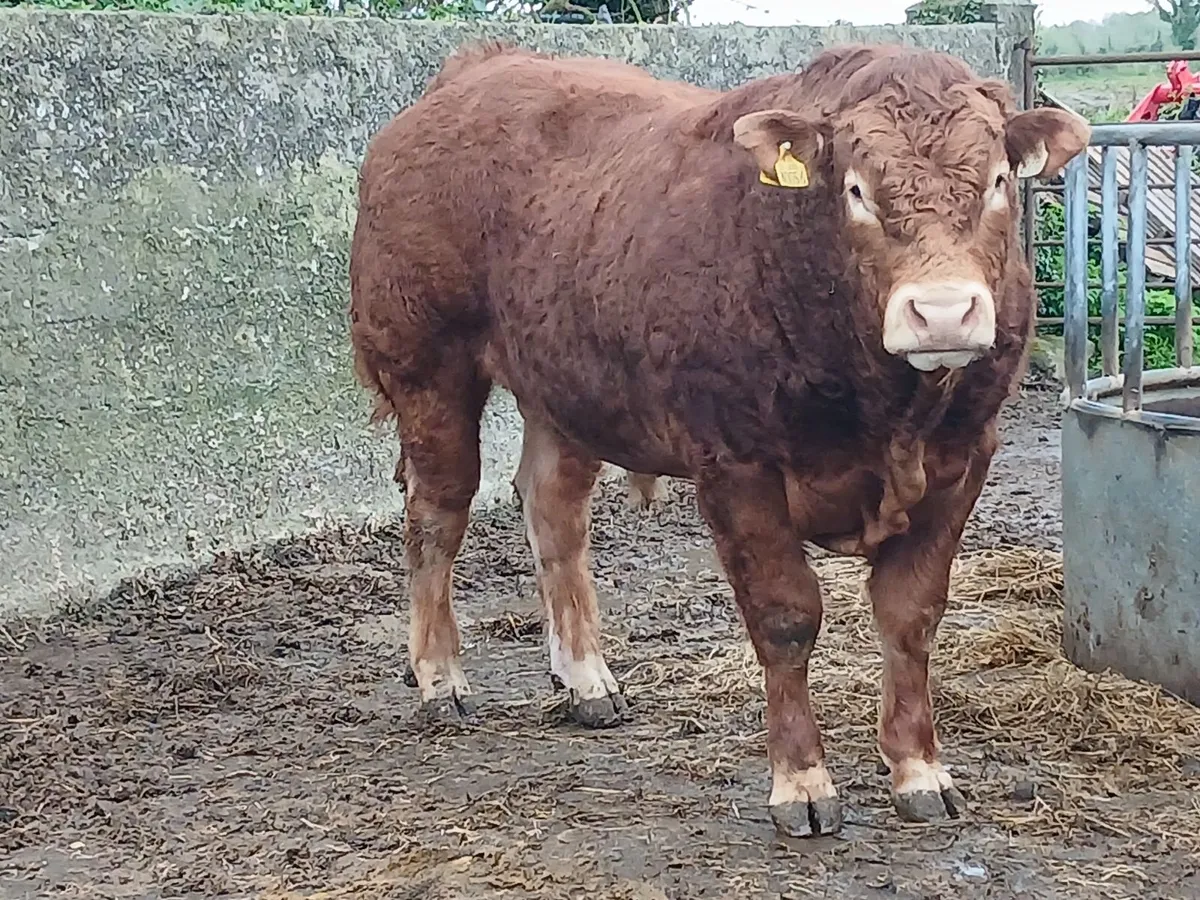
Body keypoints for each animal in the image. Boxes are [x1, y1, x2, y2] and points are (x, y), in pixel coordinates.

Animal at [349, 42, 1089, 838]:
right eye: (855, 189)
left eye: (998, 182)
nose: (944, 313)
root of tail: (475, 70)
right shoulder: (737, 464)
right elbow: (786, 617)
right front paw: (802, 782)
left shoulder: (963, 460)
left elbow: (911, 615)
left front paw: (919, 769)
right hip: (429, 369)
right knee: (437, 514)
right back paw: (439, 679)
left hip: (565, 386)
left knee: (553, 510)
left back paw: (586, 681)